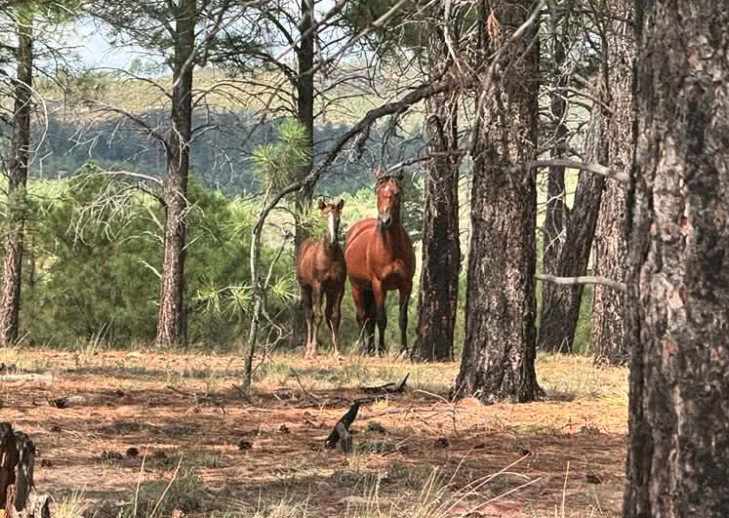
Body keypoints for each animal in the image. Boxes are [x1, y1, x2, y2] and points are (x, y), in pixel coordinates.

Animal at [295, 199, 347, 358]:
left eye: (338, 218)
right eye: (324, 217)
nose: (332, 241)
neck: (330, 257)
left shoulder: (339, 287)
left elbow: (335, 316)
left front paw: (337, 350)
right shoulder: (318, 285)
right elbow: (317, 316)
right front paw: (313, 349)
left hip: (328, 291)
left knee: (328, 313)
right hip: (306, 288)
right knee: (309, 314)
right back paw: (308, 349)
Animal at [344, 169, 416, 355]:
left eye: (396, 193)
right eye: (378, 192)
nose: (385, 220)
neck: (391, 249)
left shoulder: (406, 284)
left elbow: (402, 319)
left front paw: (404, 350)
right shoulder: (379, 283)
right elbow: (382, 318)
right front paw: (382, 349)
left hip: (368, 288)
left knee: (369, 317)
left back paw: (370, 349)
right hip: (357, 286)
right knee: (361, 316)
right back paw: (363, 348)